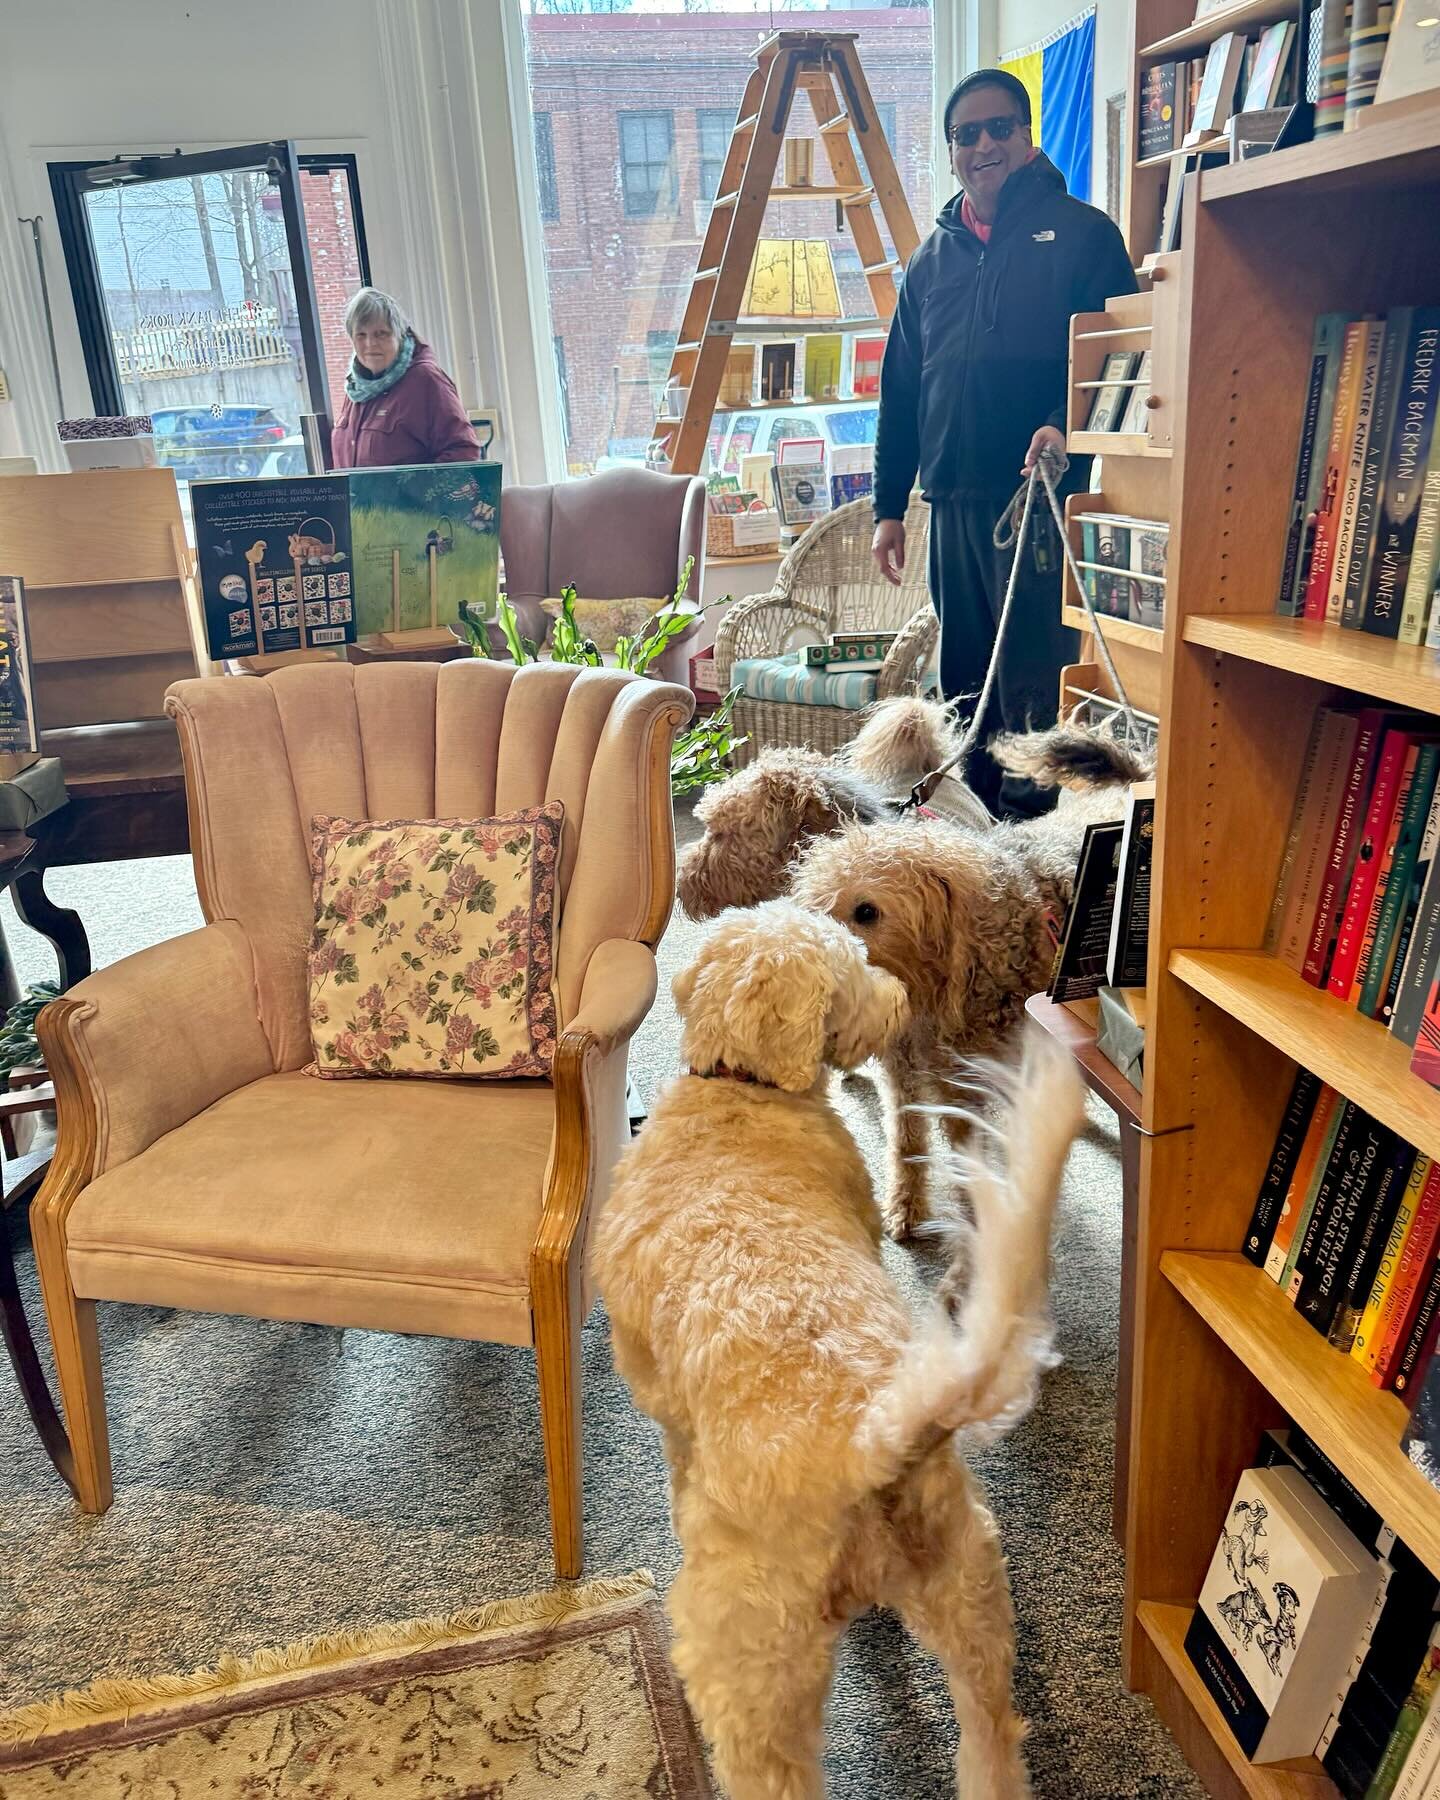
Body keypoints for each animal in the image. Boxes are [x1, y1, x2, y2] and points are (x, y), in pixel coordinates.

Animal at [594, 907, 1080, 1800]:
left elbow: (677, 1464)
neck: (745, 1088)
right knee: (992, 1743)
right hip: (967, 1587)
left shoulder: (661, 1402)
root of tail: (868, 1439)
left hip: (751, 1666)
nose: (899, 998)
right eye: (855, 968)